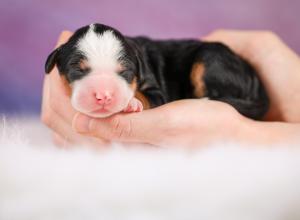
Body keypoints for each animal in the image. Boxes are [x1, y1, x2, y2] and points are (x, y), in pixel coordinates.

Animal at [45, 23, 270, 119]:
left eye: (125, 71)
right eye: (77, 69)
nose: (103, 95)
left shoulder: (156, 90)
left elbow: (146, 95)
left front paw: (132, 102)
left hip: (210, 58)